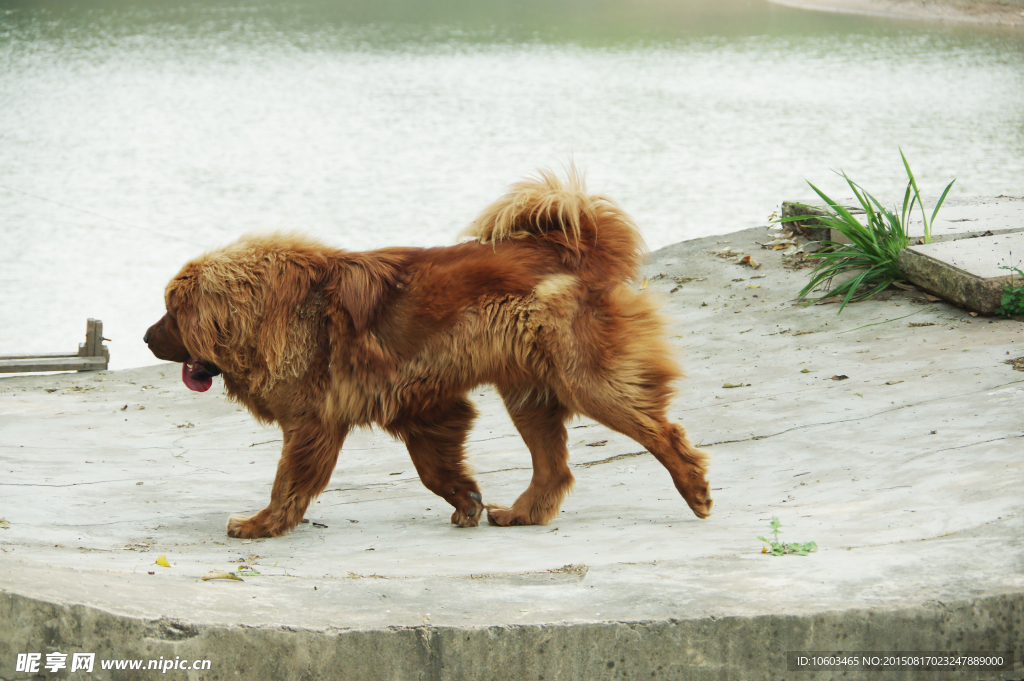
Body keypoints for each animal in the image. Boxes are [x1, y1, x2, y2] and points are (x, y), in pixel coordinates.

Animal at [142, 169, 712, 536]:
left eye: (171, 311)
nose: (145, 338)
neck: (272, 310)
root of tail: (577, 247)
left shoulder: (314, 421)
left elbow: (290, 480)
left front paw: (262, 524)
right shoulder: (422, 407)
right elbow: (434, 469)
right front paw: (468, 501)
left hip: (586, 378)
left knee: (661, 431)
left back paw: (695, 491)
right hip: (528, 391)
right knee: (554, 467)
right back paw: (522, 513)